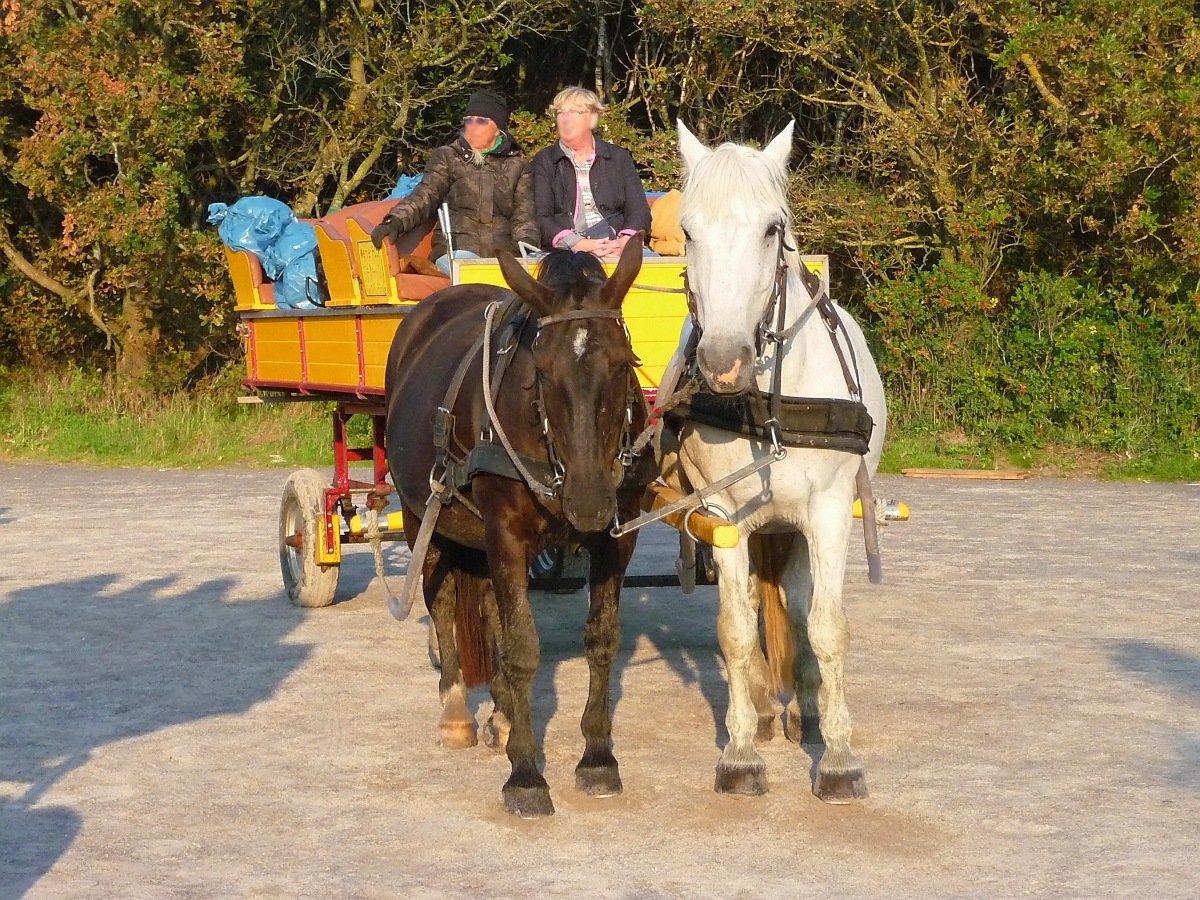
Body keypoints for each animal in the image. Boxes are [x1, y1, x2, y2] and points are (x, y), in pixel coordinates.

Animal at [381, 237, 648, 816]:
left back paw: (502, 713)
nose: (588, 501)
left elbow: (601, 638)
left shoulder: (618, 537)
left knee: (486, 608)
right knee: (442, 604)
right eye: (541, 371)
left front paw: (597, 756)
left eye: (624, 364)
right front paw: (525, 774)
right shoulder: (504, 532)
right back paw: (456, 711)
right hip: (422, 520)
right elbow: (523, 647)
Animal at [667, 121, 892, 801]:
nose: (723, 363)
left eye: (772, 229)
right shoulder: (721, 513)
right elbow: (737, 631)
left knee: (797, 603)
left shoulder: (829, 511)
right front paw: (740, 751)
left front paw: (840, 757)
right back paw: (769, 710)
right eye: (688, 230)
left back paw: (810, 708)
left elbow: (826, 625)